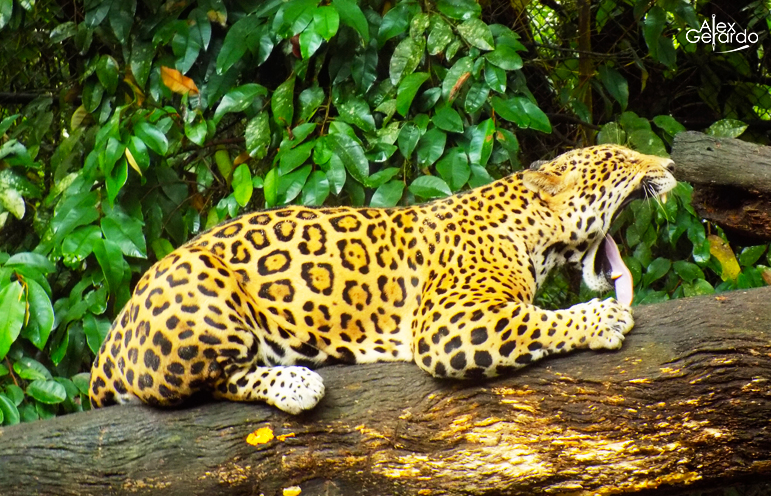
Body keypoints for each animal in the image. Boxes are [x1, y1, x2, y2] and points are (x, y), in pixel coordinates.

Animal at [89, 144, 677, 415]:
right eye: (621, 159)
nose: (670, 164)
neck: (531, 232)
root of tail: (108, 346)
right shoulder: (449, 324)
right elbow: (542, 321)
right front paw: (605, 318)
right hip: (204, 294)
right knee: (203, 384)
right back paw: (296, 383)